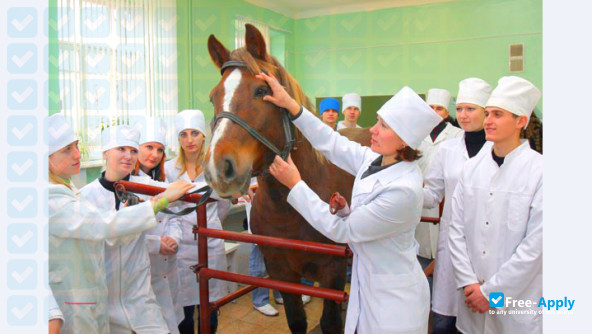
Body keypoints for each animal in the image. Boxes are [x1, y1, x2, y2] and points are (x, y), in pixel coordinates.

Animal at [206, 24, 368, 334]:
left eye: (261, 90)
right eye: (213, 97)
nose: (219, 169)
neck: (290, 207)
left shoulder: (331, 272)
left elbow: (330, 322)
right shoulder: (281, 271)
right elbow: (296, 321)